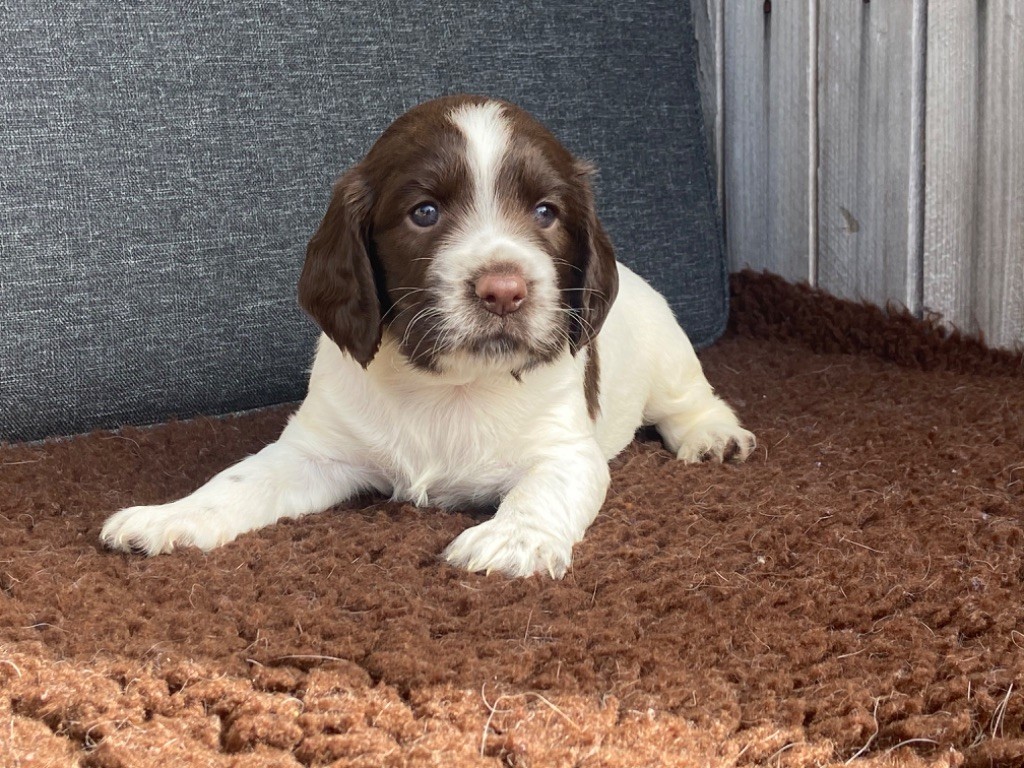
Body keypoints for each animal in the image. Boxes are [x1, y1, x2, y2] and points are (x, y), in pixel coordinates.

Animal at [101, 94, 753, 577]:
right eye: (425, 213)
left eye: (546, 212)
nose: (503, 290)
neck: (451, 385)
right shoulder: (314, 451)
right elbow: (237, 481)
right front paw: (167, 518)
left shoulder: (565, 451)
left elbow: (541, 492)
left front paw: (512, 540)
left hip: (665, 352)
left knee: (689, 399)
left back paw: (713, 436)